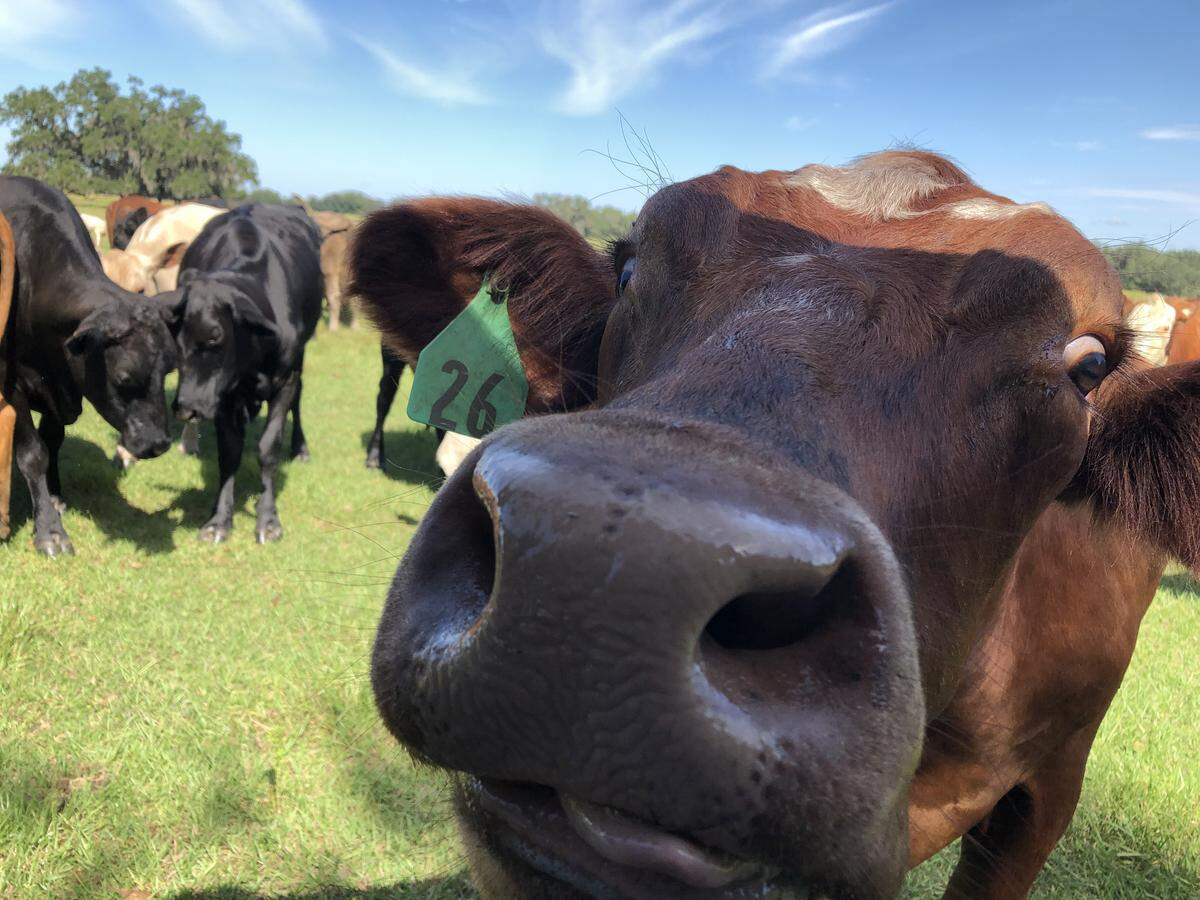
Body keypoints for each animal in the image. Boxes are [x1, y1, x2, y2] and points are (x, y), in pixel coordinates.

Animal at [0, 176, 176, 556]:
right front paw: (50, 530)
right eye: (123, 376)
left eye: (167, 371)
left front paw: (54, 498)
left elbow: (52, 441)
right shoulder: (13, 383)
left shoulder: (62, 388)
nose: (157, 443)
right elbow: (34, 453)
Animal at [169, 204, 321, 544]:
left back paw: (301, 447)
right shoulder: (224, 395)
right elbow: (229, 453)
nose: (186, 408)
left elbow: (268, 449)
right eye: (175, 335)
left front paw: (268, 520)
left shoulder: (285, 380)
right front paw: (219, 520)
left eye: (215, 336)